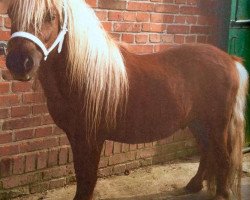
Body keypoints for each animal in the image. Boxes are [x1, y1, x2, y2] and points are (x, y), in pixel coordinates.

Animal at [3, 0, 248, 200]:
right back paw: (194, 185)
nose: (19, 63)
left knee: (223, 157)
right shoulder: (75, 137)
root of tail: (230, 60)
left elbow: (87, 180)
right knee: (207, 152)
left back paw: (222, 194)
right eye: (10, 13)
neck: (85, 75)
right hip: (198, 123)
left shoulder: (91, 139)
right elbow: (81, 175)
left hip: (216, 125)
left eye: (50, 16)